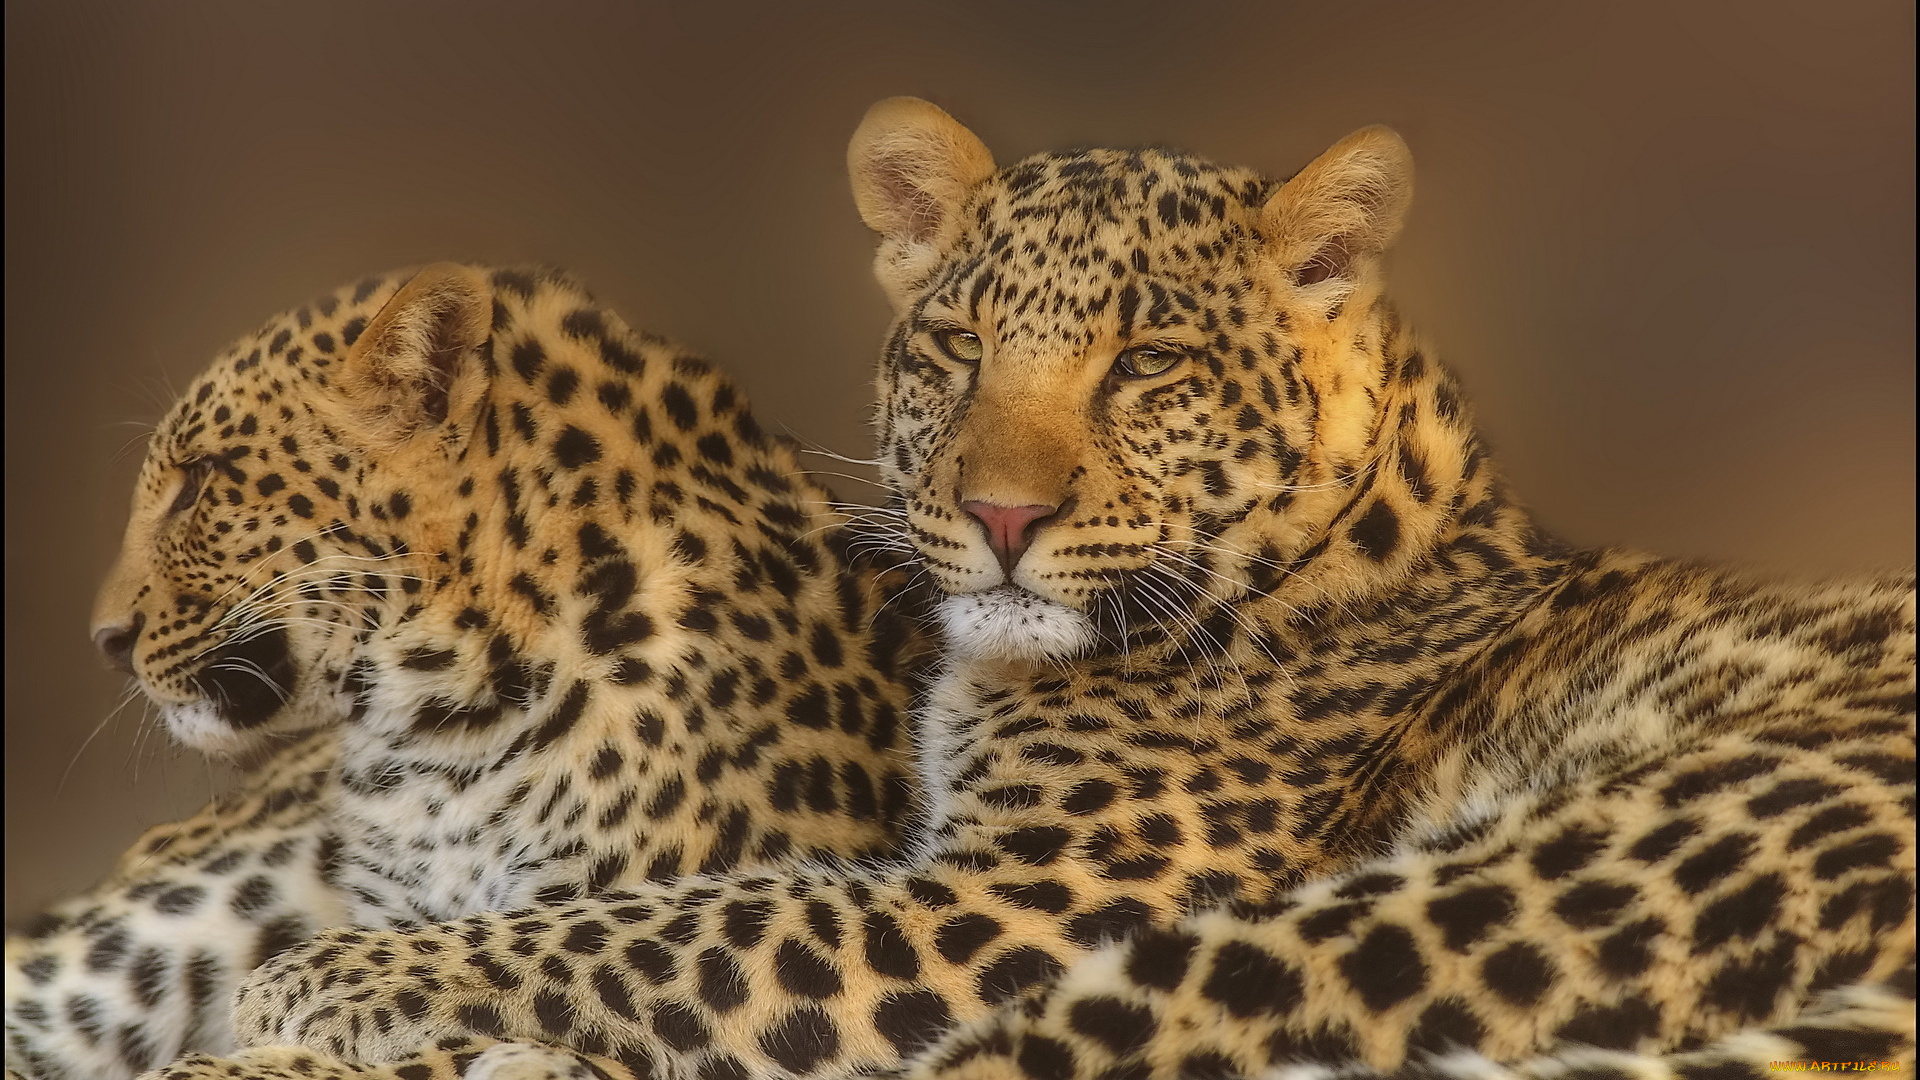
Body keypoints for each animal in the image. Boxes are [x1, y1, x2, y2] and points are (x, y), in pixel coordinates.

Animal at [116, 98, 1914, 1080]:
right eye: (959, 347)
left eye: (1150, 365)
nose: (996, 516)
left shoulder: (1009, 903)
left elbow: (665, 921)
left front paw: (323, 979)